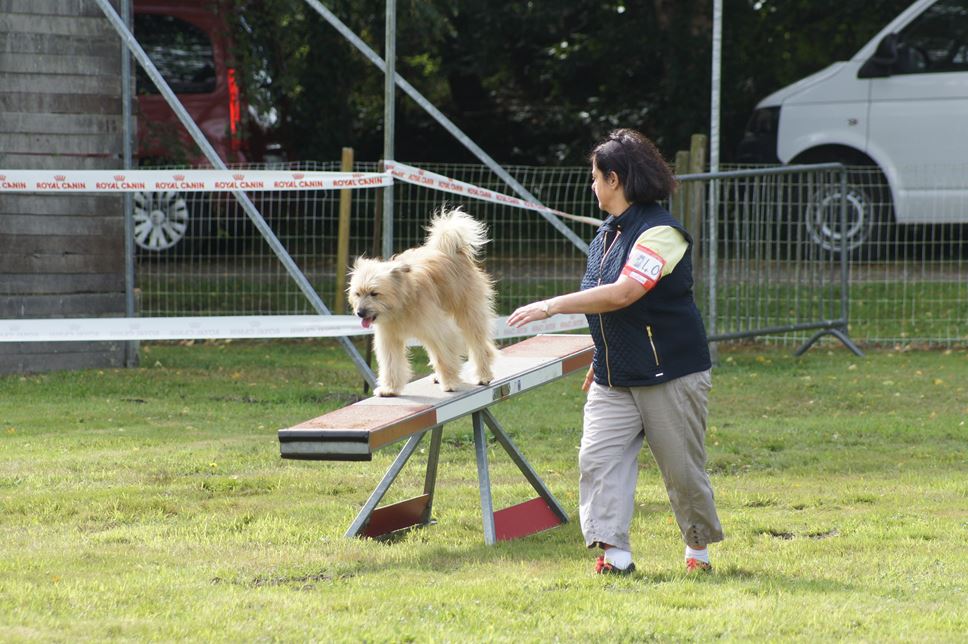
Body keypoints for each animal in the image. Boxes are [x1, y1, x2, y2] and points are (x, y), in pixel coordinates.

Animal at [348, 209, 500, 394]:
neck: (402, 303)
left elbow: (445, 357)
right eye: (357, 293)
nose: (360, 313)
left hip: (468, 314)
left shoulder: (440, 330)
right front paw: (389, 388)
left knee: (479, 346)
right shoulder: (389, 338)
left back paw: (483, 375)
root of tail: (452, 249)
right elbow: (391, 364)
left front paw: (450, 382)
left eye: (374, 293)